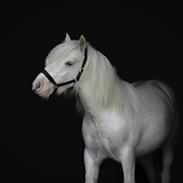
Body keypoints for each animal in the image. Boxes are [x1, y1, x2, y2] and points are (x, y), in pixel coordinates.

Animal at [32, 33, 177, 182]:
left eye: (69, 63)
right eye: (48, 61)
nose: (37, 85)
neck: (104, 113)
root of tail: (158, 84)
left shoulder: (128, 160)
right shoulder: (90, 158)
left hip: (169, 145)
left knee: (165, 172)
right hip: (145, 153)